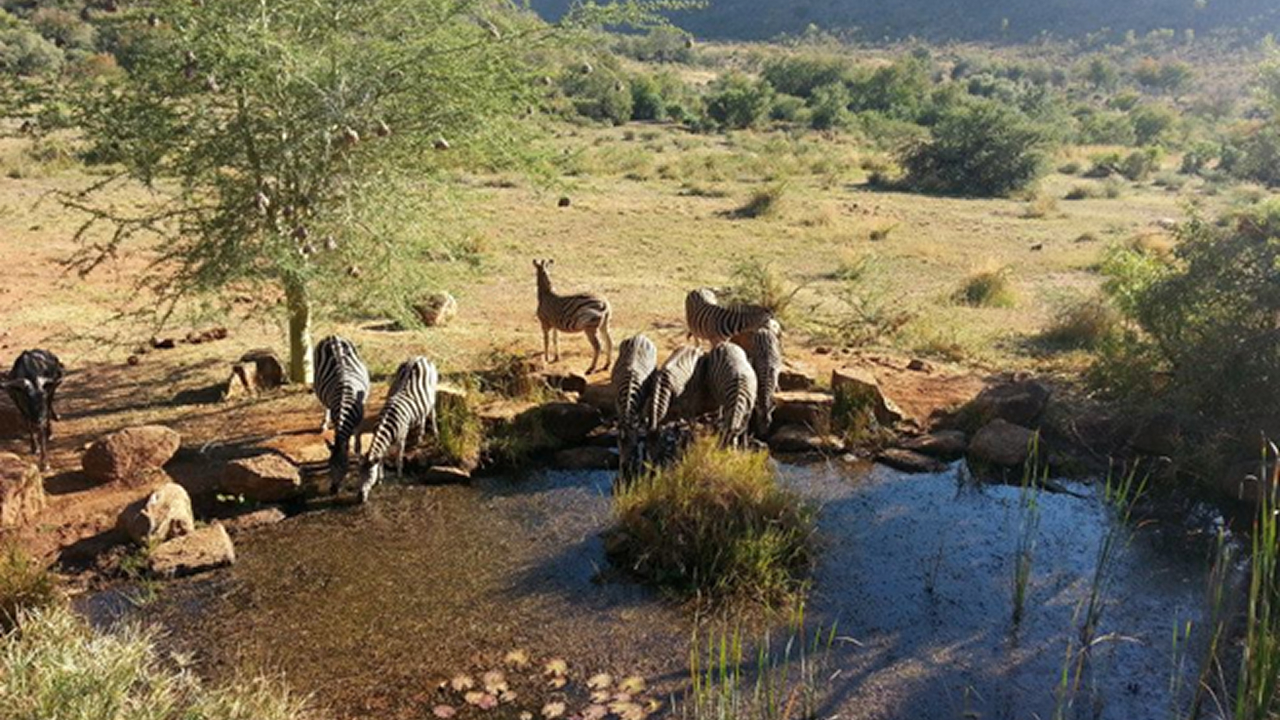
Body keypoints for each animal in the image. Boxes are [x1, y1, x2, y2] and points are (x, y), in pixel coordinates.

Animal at [314, 336, 371, 494]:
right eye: (329, 465)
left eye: (344, 466)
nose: (333, 490)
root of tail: (332, 336)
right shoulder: (336, 415)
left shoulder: (360, 416)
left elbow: (357, 436)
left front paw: (357, 452)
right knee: (324, 405)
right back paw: (324, 424)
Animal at [358, 357, 439, 504]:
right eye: (359, 475)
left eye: (369, 476)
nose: (359, 498)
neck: (388, 423)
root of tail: (420, 357)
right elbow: (382, 457)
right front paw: (380, 478)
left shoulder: (401, 438)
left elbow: (398, 458)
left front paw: (399, 475)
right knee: (423, 416)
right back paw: (420, 437)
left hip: (433, 395)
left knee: (433, 414)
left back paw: (436, 435)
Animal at [611, 335, 657, 475]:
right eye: (617, 444)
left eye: (633, 445)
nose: (624, 467)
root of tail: (640, 336)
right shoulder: (617, 403)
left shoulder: (640, 404)